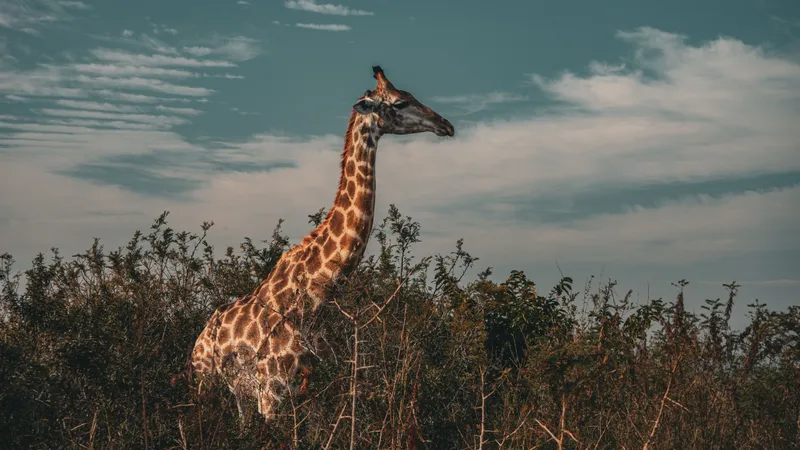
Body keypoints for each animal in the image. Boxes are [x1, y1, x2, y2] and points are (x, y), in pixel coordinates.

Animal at [190, 65, 455, 423]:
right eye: (400, 103)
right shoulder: (271, 391)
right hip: (205, 383)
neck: (315, 299)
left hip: (239, 395)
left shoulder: (315, 388)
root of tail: (199, 338)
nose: (446, 125)